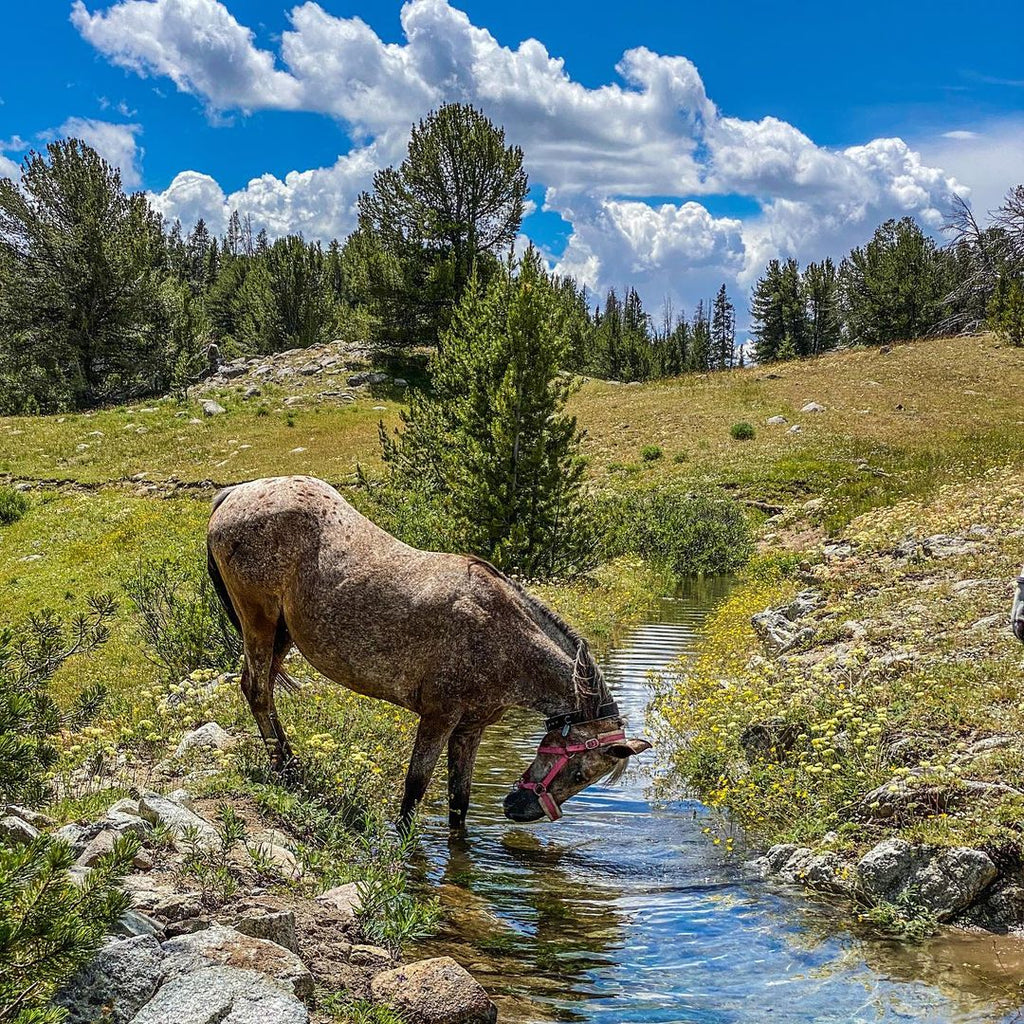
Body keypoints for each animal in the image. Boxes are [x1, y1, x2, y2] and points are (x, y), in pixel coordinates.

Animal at [204, 475, 651, 827]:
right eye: (578, 775)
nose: (517, 808)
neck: (505, 638)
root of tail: (235, 492)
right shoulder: (439, 717)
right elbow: (415, 787)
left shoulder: (470, 729)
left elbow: (459, 801)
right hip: (259, 620)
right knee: (257, 690)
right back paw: (284, 767)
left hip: (283, 633)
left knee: (261, 687)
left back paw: (291, 762)